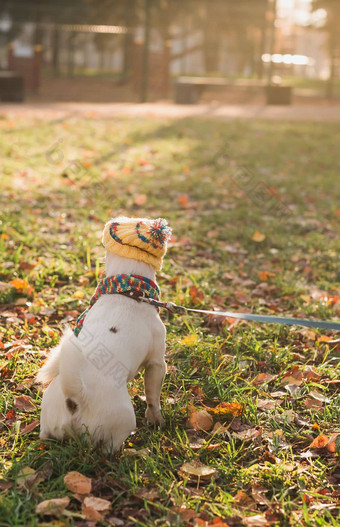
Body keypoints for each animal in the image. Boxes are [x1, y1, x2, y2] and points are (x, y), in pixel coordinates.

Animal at [36, 217, 173, 452]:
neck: (129, 292)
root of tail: (75, 400)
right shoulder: (157, 364)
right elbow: (153, 398)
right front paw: (156, 421)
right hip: (121, 422)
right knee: (110, 447)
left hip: (49, 419)